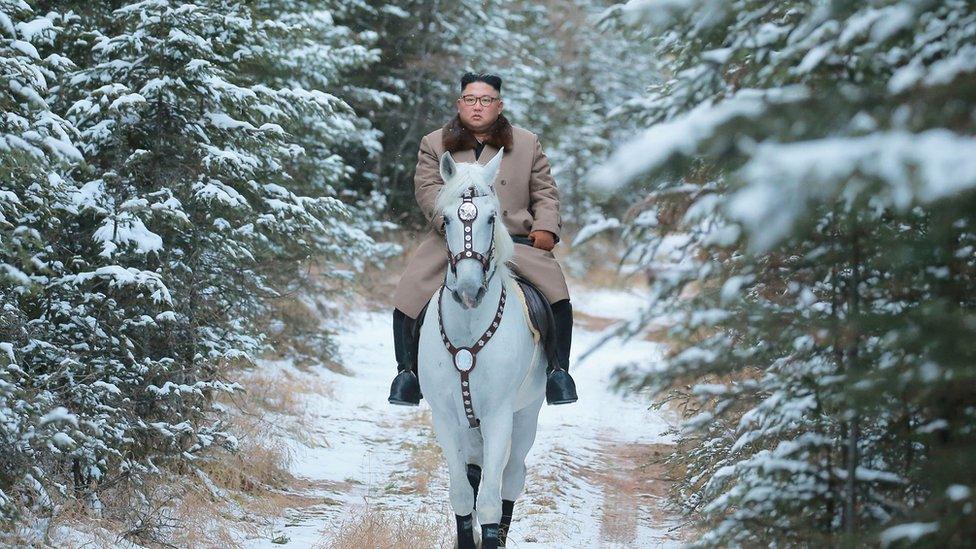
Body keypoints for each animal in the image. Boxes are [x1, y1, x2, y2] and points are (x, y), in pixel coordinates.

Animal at [414, 147, 544, 548]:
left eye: (491, 217)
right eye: (445, 221)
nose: (469, 291)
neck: (469, 332)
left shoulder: (499, 415)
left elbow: (488, 500)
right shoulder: (444, 416)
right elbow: (461, 492)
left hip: (526, 414)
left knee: (512, 476)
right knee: (474, 472)